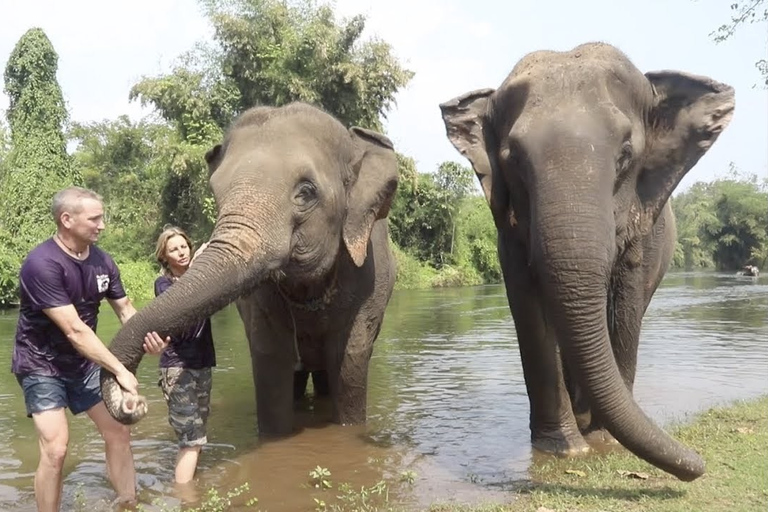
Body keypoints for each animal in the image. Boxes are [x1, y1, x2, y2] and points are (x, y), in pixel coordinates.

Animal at [100, 103, 400, 436]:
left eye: (306, 192)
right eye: (216, 192)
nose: (131, 400)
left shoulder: (368, 279)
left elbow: (349, 357)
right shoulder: (260, 302)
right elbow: (270, 357)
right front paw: (275, 435)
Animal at [438, 41, 732, 480]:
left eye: (625, 155)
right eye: (513, 160)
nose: (695, 466)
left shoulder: (640, 229)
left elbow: (625, 305)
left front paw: (605, 441)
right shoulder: (508, 231)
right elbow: (529, 306)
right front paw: (563, 450)